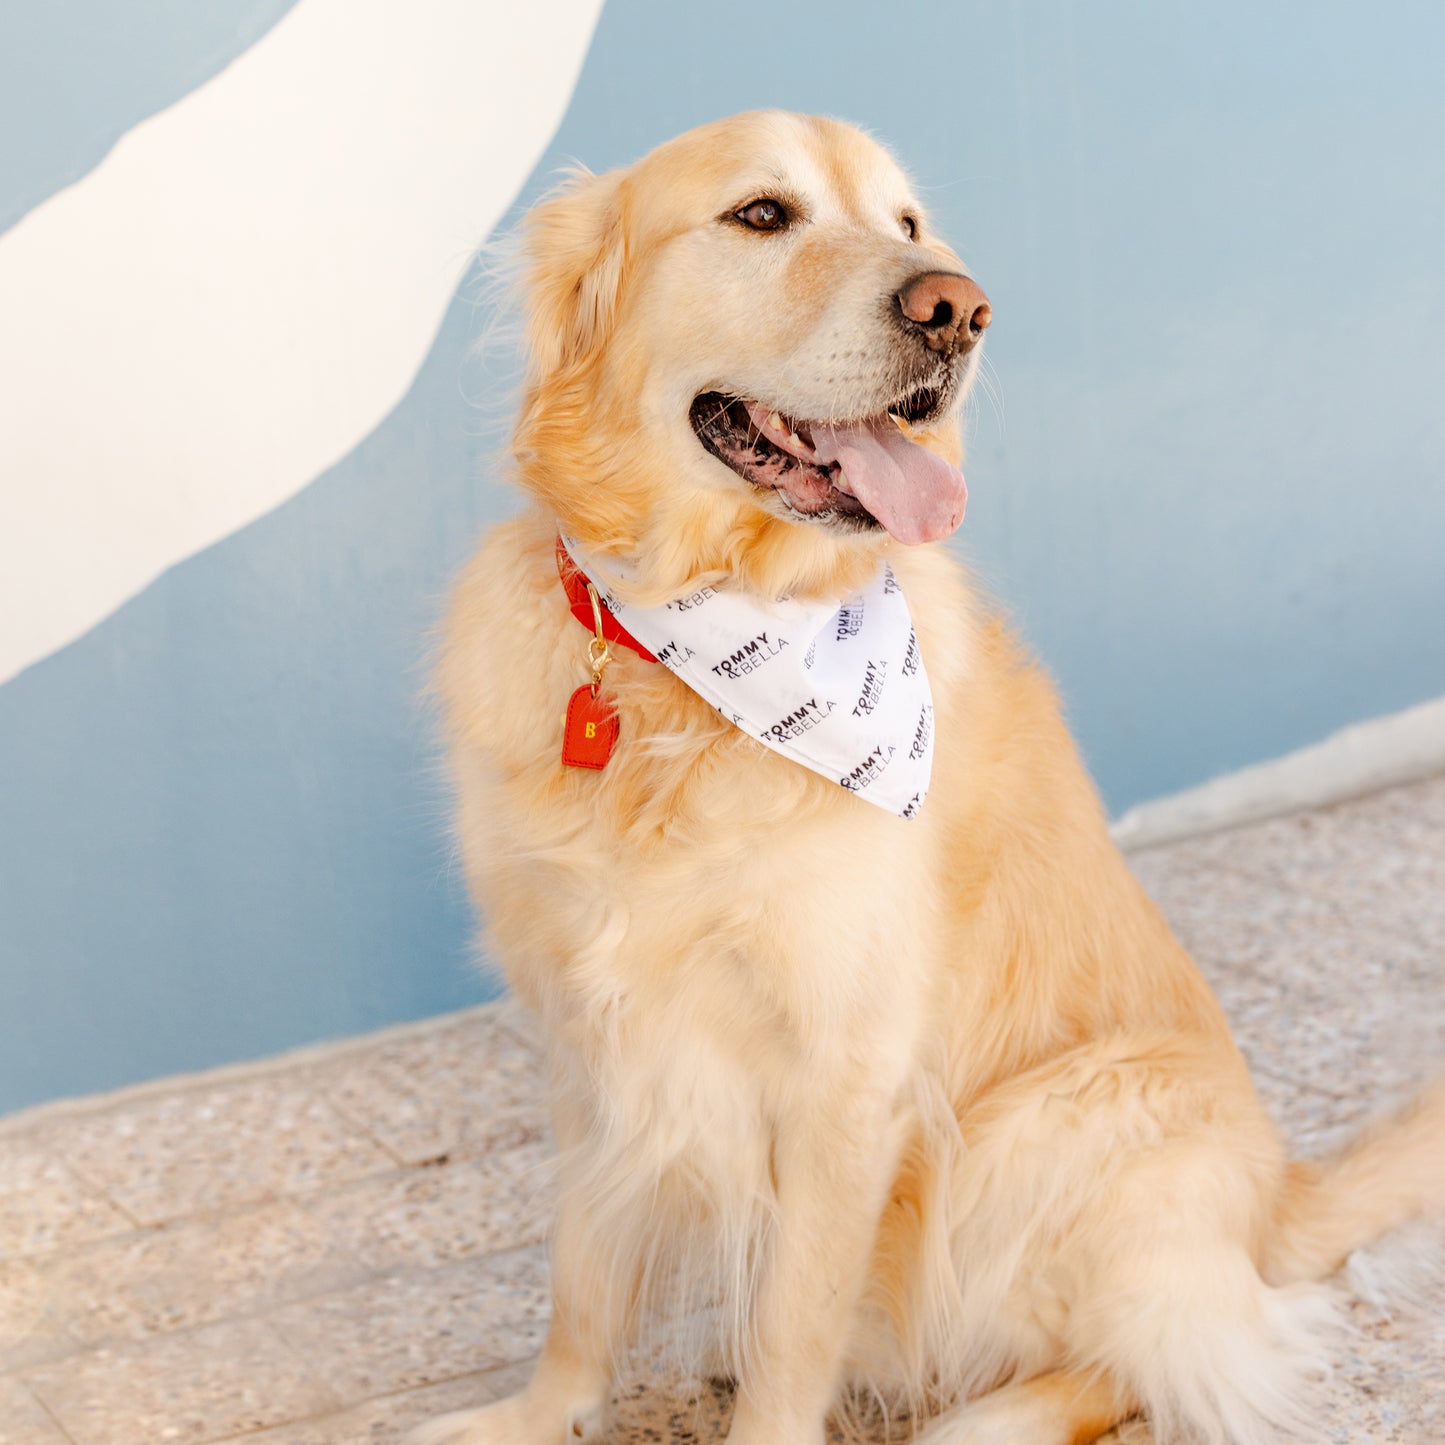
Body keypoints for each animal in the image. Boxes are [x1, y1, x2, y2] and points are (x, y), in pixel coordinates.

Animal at [413, 104, 1439, 1445]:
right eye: (760, 214)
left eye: (906, 223)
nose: (956, 307)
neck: (690, 658)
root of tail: (1269, 1202)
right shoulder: (592, 1031)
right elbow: (581, 1274)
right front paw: (541, 1412)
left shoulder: (847, 1073)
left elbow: (789, 1332)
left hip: (1052, 1121)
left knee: (1148, 1357)